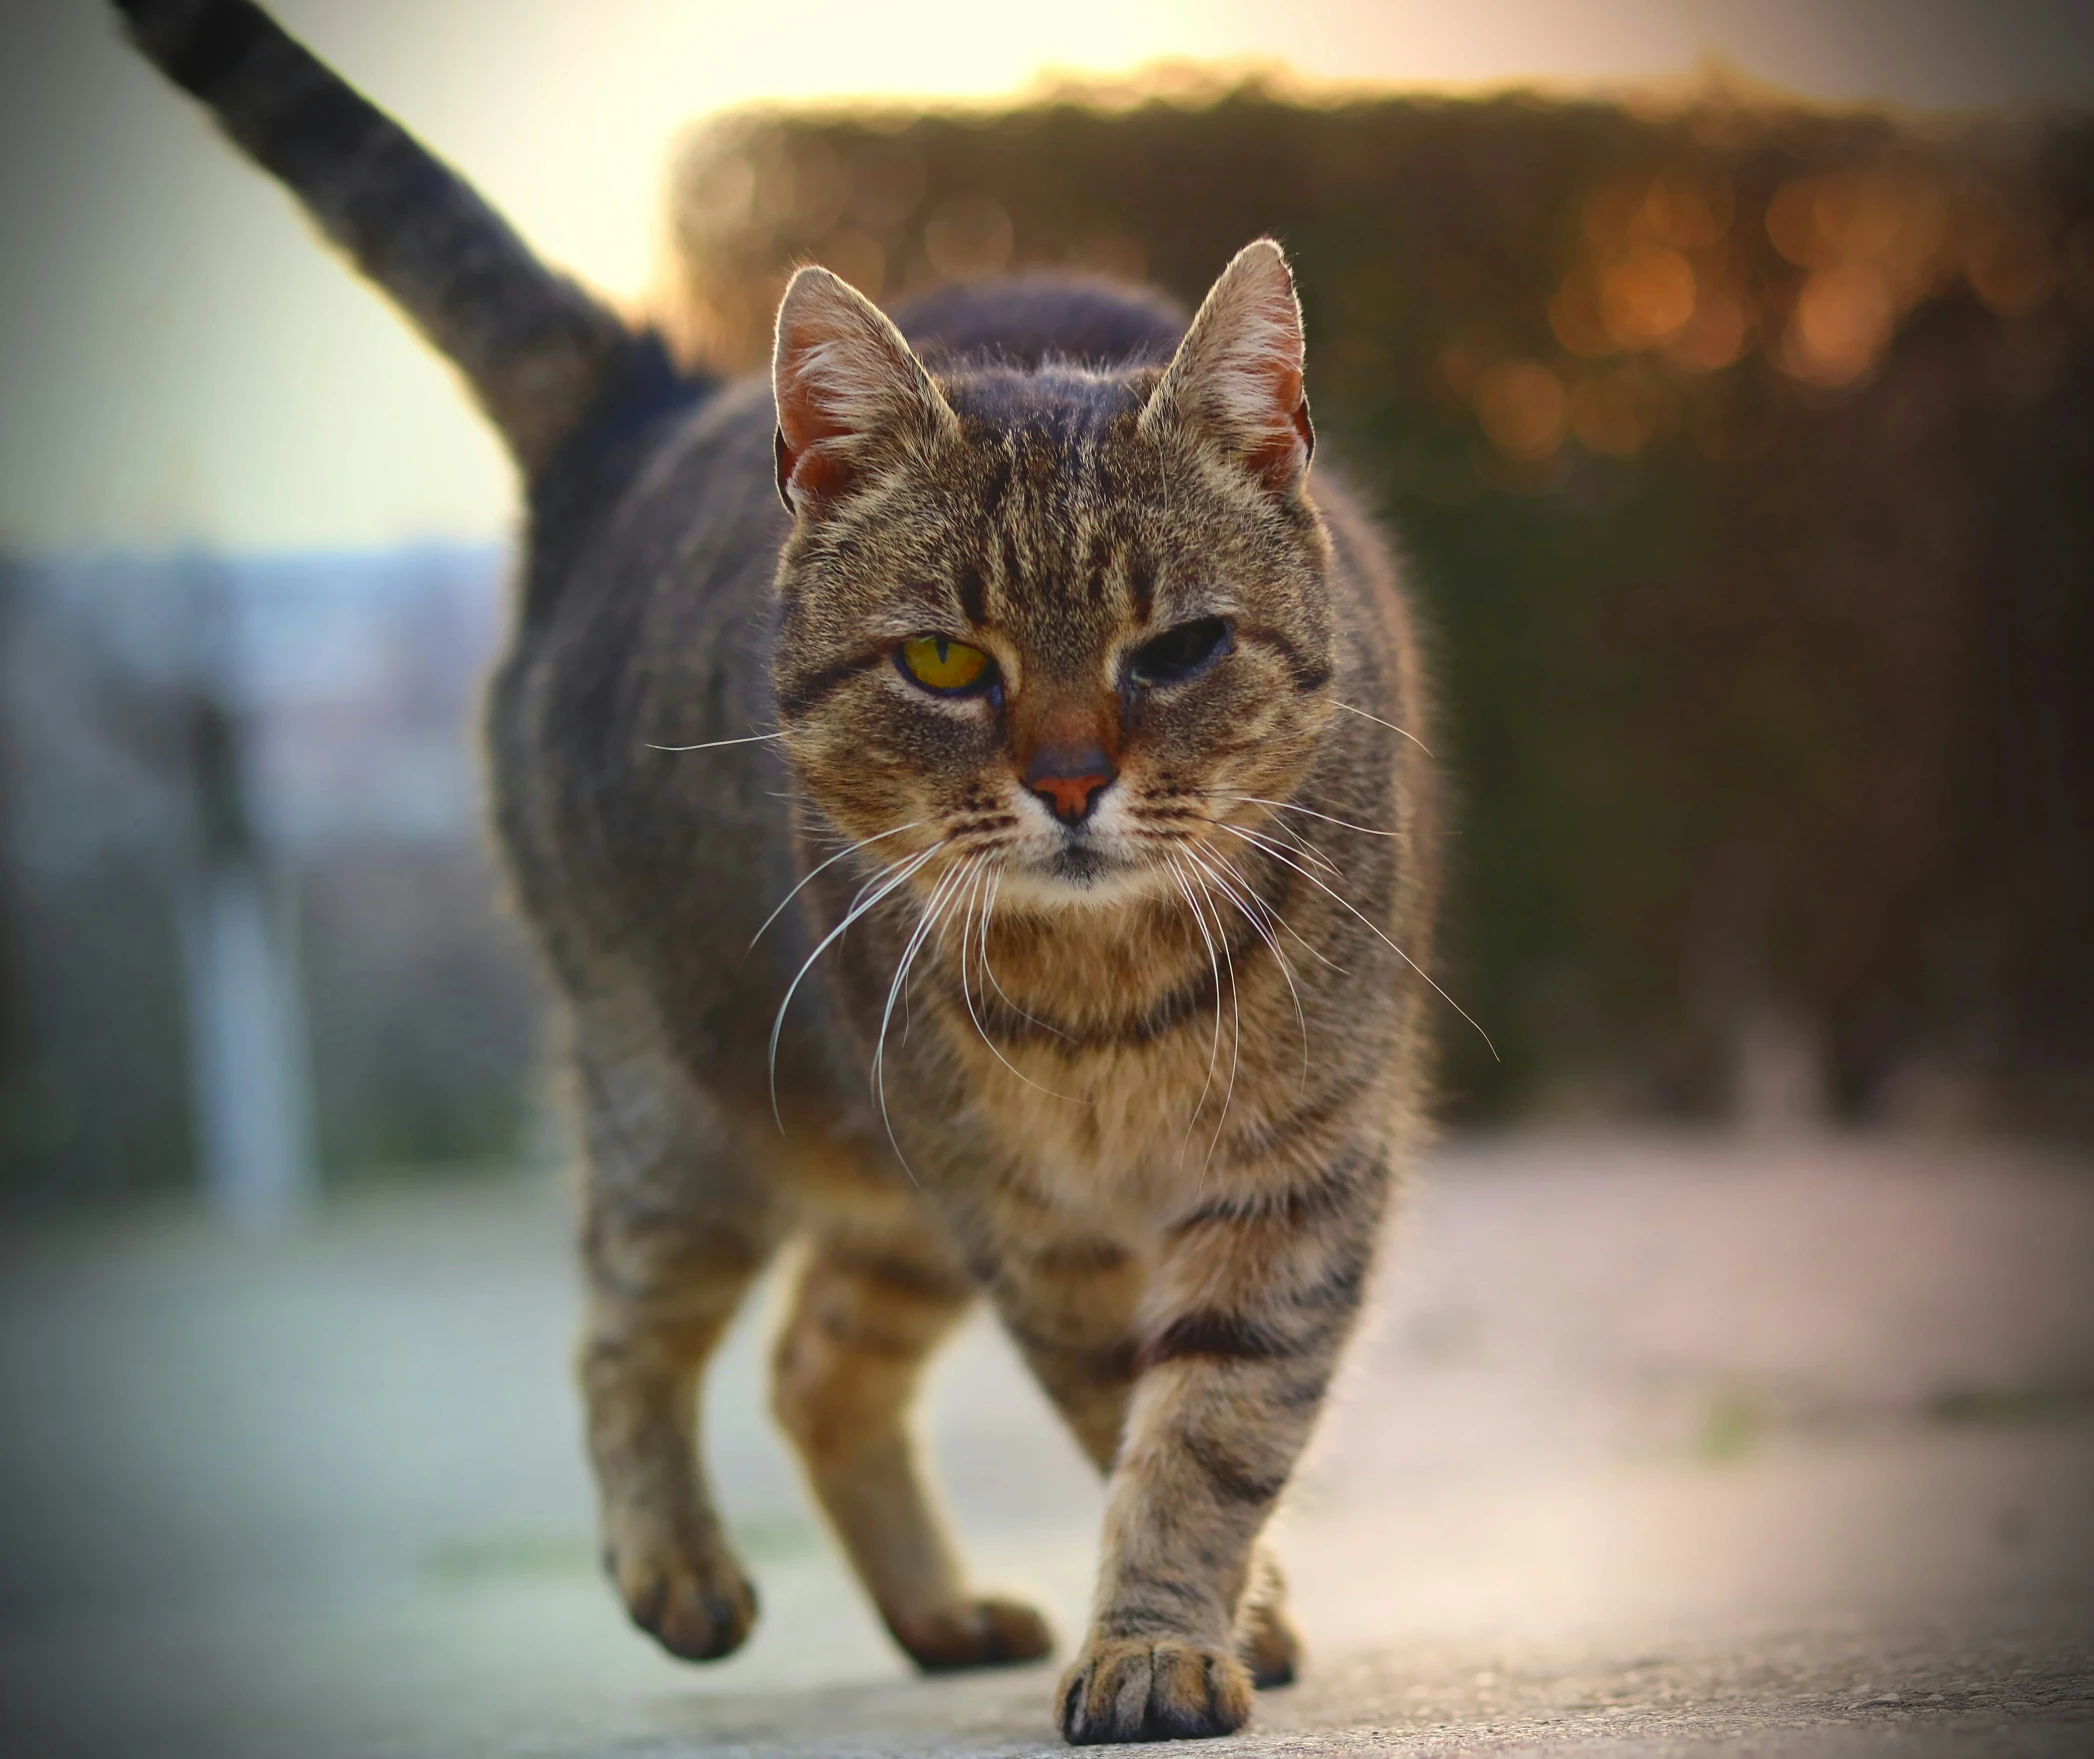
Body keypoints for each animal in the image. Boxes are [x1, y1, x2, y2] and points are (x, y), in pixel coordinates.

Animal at [122, 0, 1440, 1742]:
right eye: (945, 660)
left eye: (1176, 649)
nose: (1069, 780)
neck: (1106, 1002)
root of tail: (645, 400)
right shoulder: (1031, 1223)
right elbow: (1128, 1411)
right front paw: (1194, 1620)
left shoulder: (1297, 1168)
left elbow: (1214, 1419)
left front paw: (1169, 1627)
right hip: (692, 1116)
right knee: (627, 1331)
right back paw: (678, 1565)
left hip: (884, 1184)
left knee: (816, 1362)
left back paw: (942, 1607)